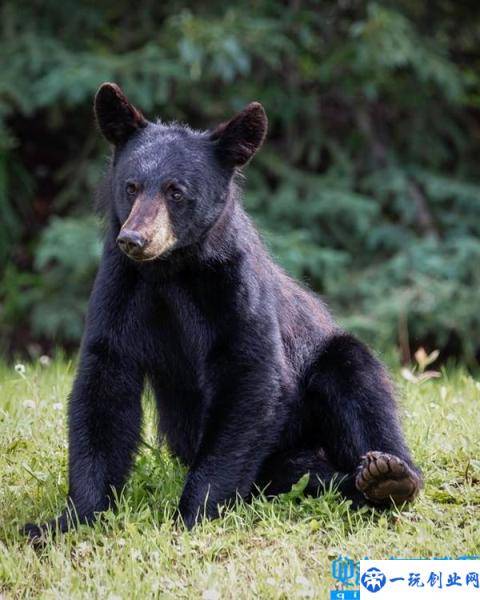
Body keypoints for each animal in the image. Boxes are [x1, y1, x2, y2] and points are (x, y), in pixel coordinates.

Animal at [22, 82, 422, 540]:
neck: (172, 271)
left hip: (325, 370)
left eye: (176, 191)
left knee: (357, 381)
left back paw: (387, 476)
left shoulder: (234, 287)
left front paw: (192, 514)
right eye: (131, 186)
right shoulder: (120, 287)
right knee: (301, 474)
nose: (134, 239)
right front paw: (68, 519)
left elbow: (248, 375)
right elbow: (104, 383)